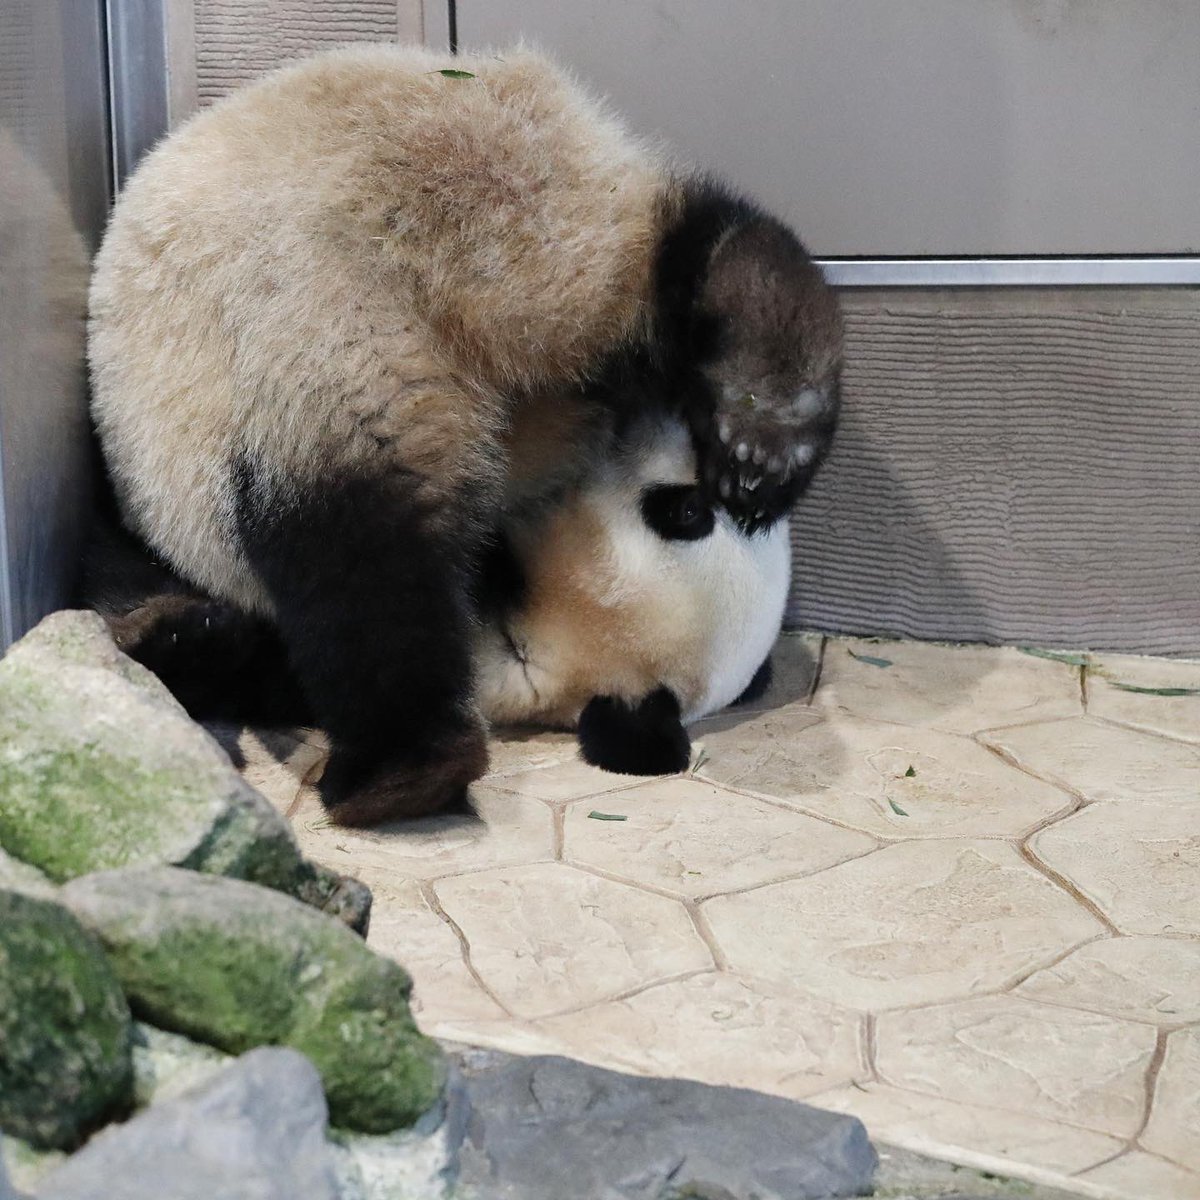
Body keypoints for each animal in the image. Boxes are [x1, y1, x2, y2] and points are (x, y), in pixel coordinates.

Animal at [87, 43, 842, 825]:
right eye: (688, 509)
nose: (657, 432)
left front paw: (179, 641)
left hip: (328, 337)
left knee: (358, 553)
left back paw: (404, 772)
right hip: (544, 198)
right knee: (672, 257)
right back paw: (769, 406)